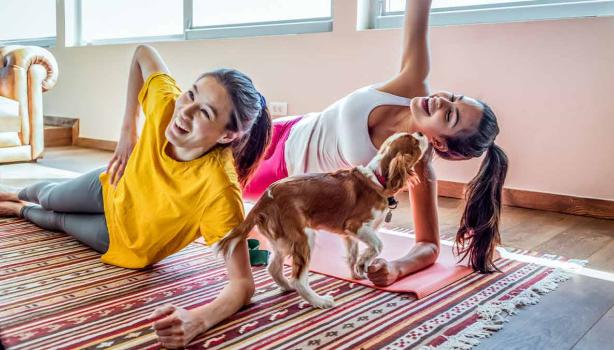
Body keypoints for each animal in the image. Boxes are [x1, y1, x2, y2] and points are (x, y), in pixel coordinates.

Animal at [220, 133, 428, 308]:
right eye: (414, 141)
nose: (421, 133)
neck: (378, 179)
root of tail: (265, 198)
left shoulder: (349, 235)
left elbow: (352, 255)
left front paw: (357, 273)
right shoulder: (356, 225)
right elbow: (378, 245)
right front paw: (363, 263)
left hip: (283, 240)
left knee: (273, 267)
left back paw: (287, 287)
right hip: (304, 237)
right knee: (298, 278)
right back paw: (320, 301)